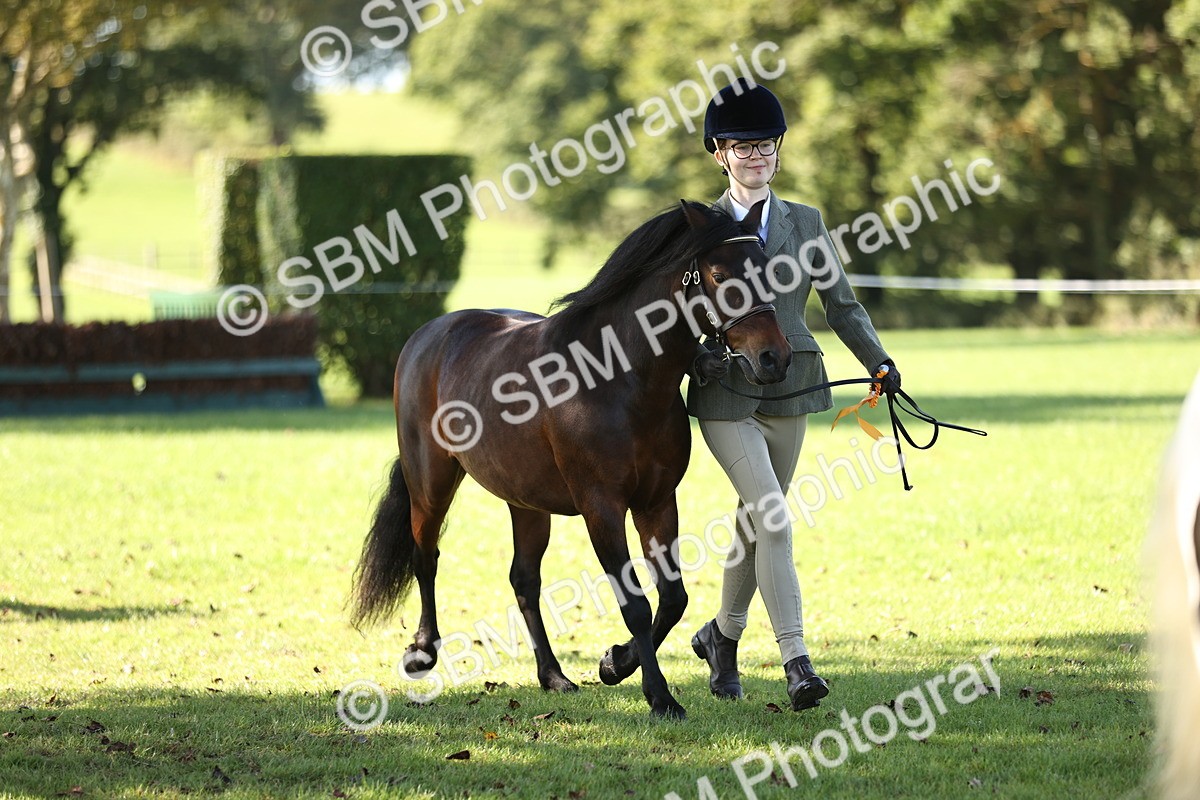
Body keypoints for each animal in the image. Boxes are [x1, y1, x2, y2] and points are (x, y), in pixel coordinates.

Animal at [351, 199, 791, 719]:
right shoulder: (602, 508)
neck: (619, 378)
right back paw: (423, 651)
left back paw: (553, 676)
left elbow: (672, 598)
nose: (774, 359)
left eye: (768, 269)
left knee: (524, 579)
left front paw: (616, 663)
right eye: (720, 275)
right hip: (431, 482)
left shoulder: (657, 502)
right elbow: (636, 603)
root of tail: (429, 335)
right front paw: (659, 696)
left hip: (526, 503)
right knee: (426, 557)